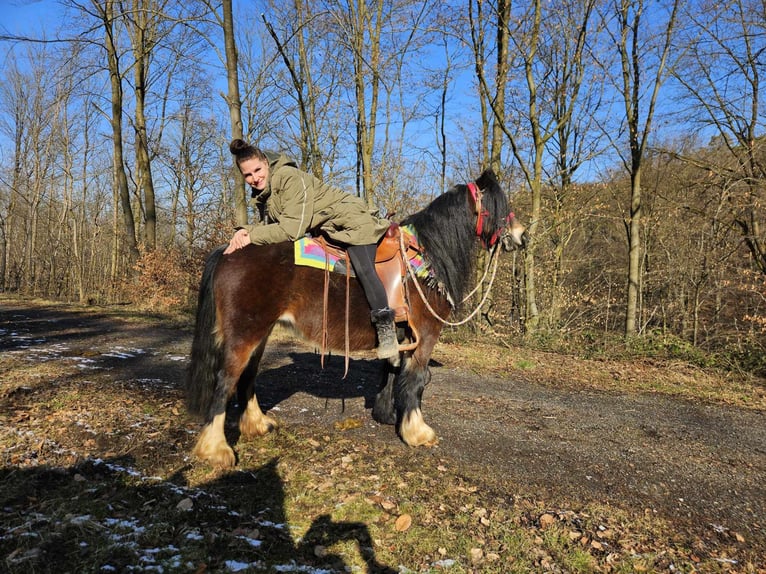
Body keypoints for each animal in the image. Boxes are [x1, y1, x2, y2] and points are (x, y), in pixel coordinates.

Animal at [184, 170, 528, 468]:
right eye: (499, 204)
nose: (521, 236)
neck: (427, 258)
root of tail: (228, 250)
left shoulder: (401, 334)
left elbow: (391, 371)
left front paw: (387, 415)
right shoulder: (426, 334)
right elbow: (416, 381)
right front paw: (418, 432)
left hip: (261, 332)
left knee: (247, 377)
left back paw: (257, 425)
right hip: (245, 333)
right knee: (225, 381)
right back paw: (216, 450)